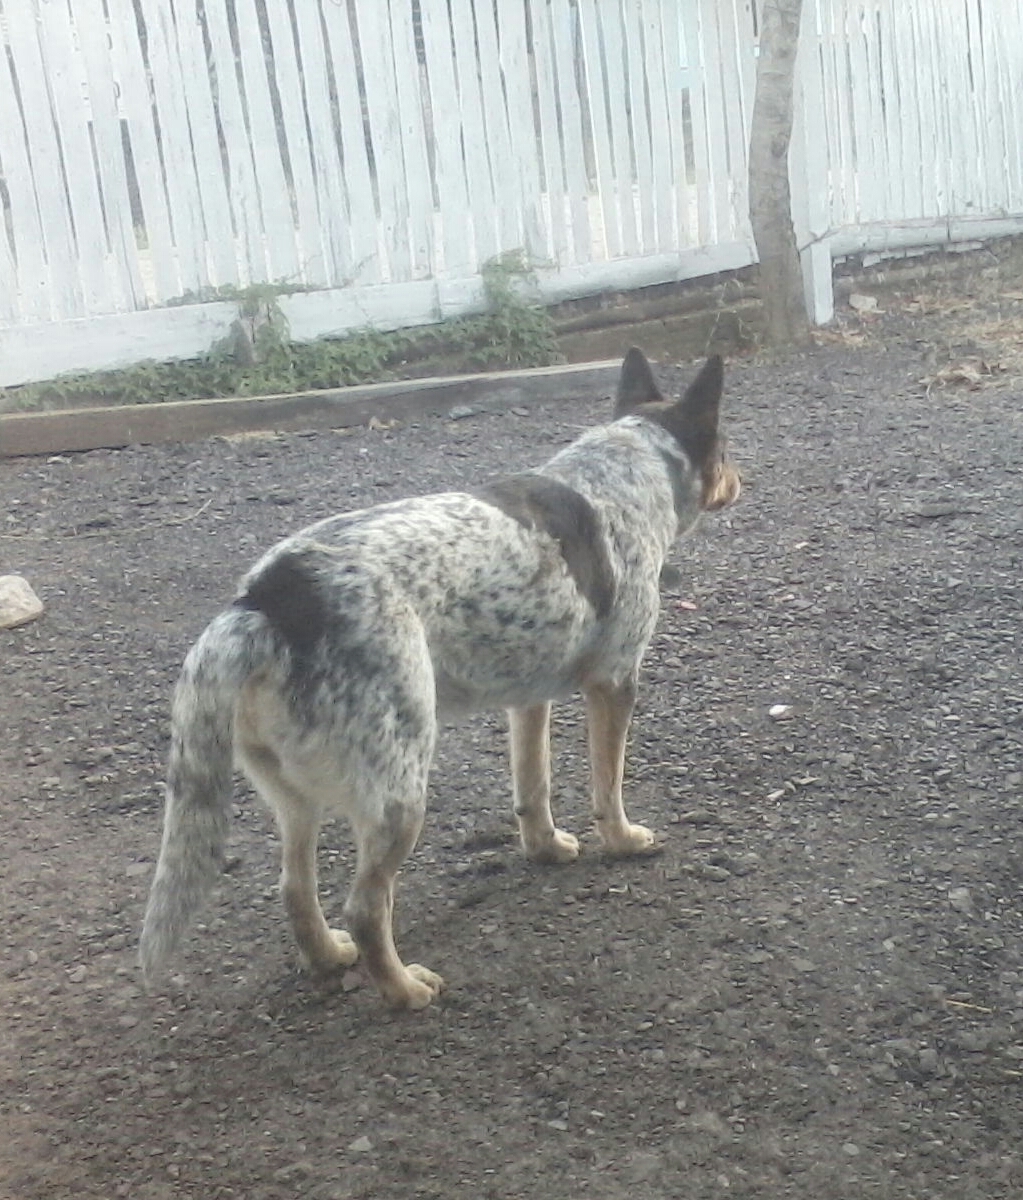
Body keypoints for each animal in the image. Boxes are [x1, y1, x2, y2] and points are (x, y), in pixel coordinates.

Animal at [139, 350, 739, 1012]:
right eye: (727, 448)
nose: (741, 481)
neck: (622, 474)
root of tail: (266, 602)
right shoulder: (614, 683)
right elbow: (608, 788)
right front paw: (625, 841)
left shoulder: (528, 701)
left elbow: (533, 789)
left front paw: (546, 850)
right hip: (400, 795)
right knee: (365, 908)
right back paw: (404, 991)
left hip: (297, 799)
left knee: (295, 889)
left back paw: (328, 959)